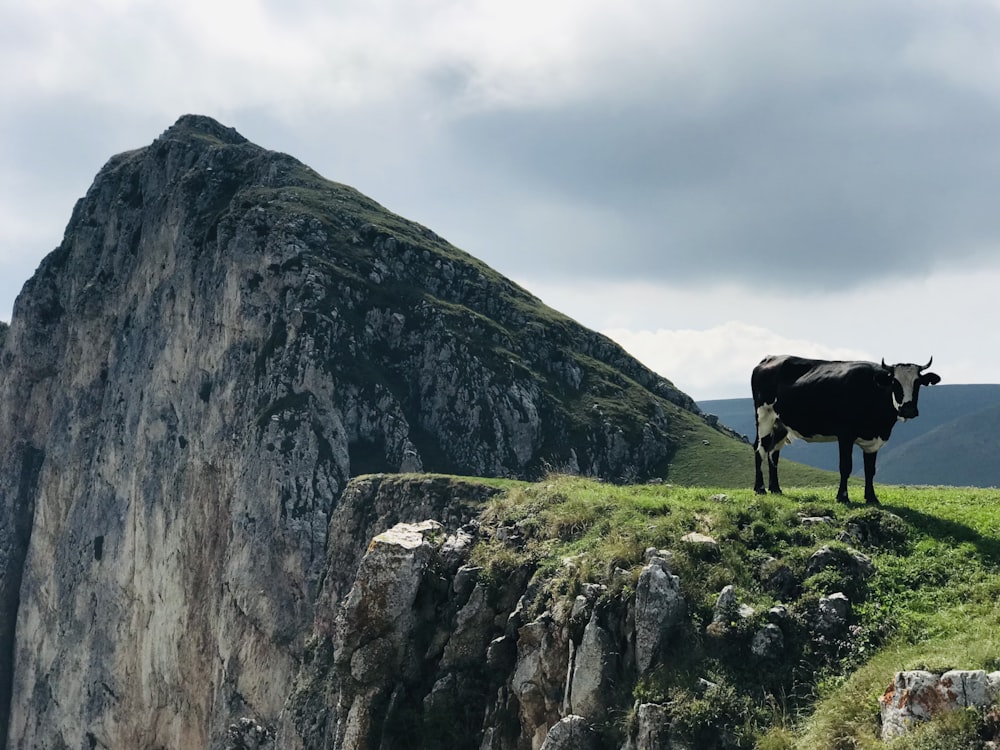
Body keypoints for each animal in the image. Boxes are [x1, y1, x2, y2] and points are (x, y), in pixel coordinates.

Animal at [752, 356, 940, 506]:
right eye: (895, 382)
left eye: (918, 383)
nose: (908, 410)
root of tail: (769, 358)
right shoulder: (845, 434)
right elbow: (845, 466)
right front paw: (842, 497)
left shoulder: (873, 440)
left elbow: (870, 470)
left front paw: (872, 498)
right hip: (764, 416)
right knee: (760, 448)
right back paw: (760, 488)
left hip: (780, 424)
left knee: (773, 452)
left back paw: (775, 488)